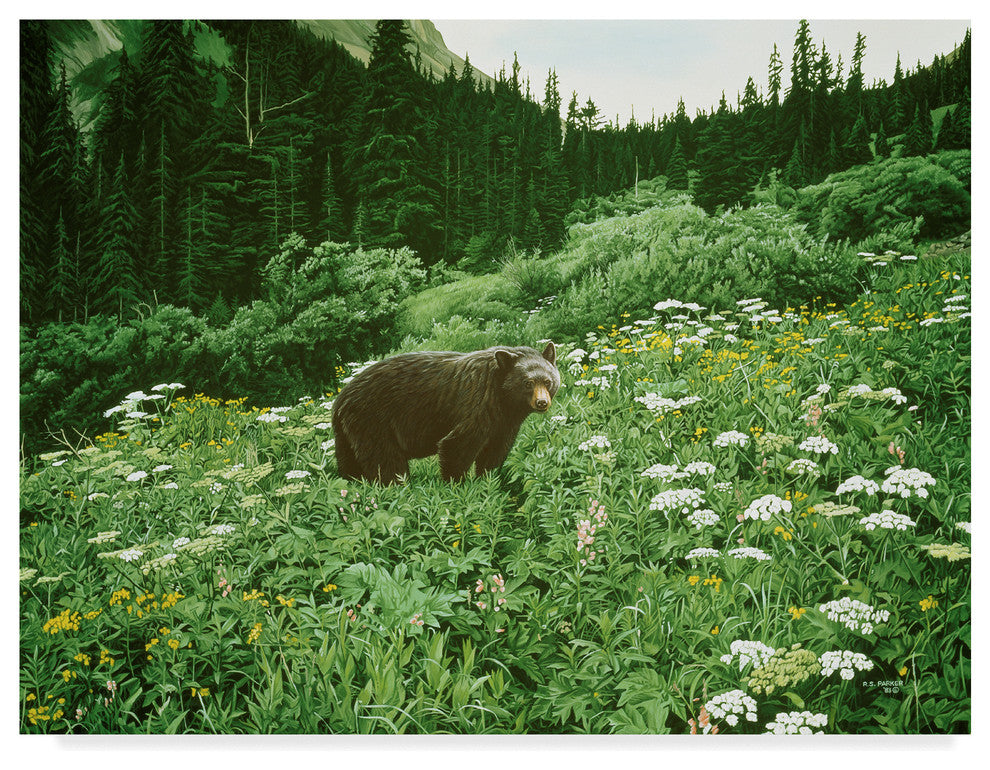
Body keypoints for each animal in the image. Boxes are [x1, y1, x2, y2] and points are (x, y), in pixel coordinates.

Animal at [331, 342, 560, 484]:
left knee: (349, 461)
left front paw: (489, 480)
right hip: (373, 421)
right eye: (528, 383)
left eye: (547, 381)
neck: (503, 397)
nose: (541, 402)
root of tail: (340, 399)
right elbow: (456, 444)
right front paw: (458, 486)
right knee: (385, 461)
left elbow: (495, 451)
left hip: (347, 432)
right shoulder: (477, 404)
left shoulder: (504, 422)